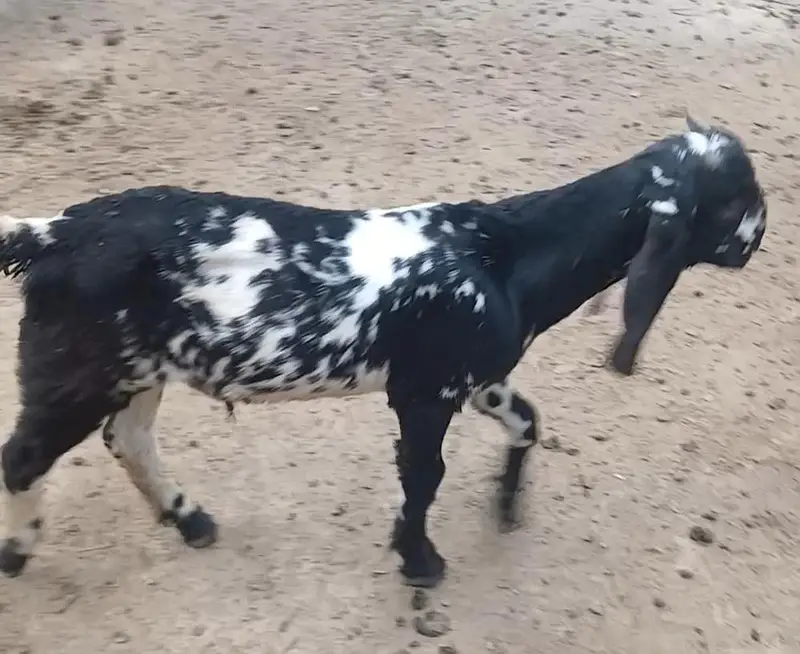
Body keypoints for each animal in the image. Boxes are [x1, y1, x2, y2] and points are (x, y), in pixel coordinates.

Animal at [0, 116, 766, 588]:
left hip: (138, 367)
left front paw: (506, 507)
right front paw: (419, 560)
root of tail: (55, 231)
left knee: (126, 438)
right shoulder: (426, 391)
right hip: (76, 368)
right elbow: (424, 476)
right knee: (24, 456)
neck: (506, 253)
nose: (759, 239)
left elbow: (527, 422)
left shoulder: (477, 377)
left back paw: (189, 519)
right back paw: (16, 551)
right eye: (733, 205)